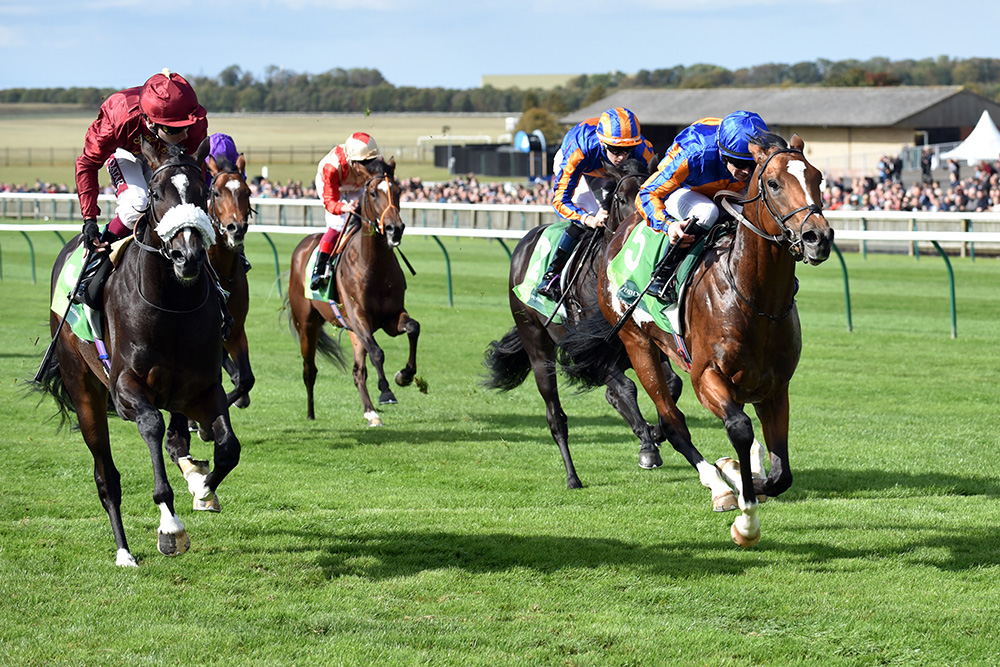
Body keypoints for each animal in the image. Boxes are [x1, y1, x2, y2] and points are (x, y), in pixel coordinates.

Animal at [34, 138, 241, 568]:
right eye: (158, 194)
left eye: (204, 193)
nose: (187, 257)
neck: (172, 306)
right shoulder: (126, 388)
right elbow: (151, 425)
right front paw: (171, 527)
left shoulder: (204, 388)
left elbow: (228, 448)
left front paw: (202, 489)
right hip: (84, 390)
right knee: (106, 477)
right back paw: (124, 551)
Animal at [288, 159, 420, 426]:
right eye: (373, 193)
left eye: (399, 190)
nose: (395, 229)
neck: (374, 265)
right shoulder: (359, 318)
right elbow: (378, 352)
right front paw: (386, 391)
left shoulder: (391, 318)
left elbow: (413, 328)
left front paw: (405, 375)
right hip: (306, 324)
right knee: (309, 369)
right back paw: (310, 413)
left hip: (350, 331)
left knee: (358, 371)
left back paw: (370, 412)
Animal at [480, 159, 684, 488]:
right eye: (621, 199)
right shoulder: (590, 353)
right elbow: (627, 387)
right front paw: (649, 446)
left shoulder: (641, 342)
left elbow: (670, 384)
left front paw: (655, 432)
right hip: (538, 347)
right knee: (556, 416)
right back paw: (572, 476)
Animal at [564, 132, 836, 548]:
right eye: (774, 183)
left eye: (817, 177)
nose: (817, 237)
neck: (754, 300)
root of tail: (620, 231)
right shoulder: (706, 376)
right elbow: (738, 428)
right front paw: (742, 511)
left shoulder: (775, 388)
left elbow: (780, 474)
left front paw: (749, 477)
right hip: (637, 343)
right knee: (673, 421)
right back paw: (716, 483)